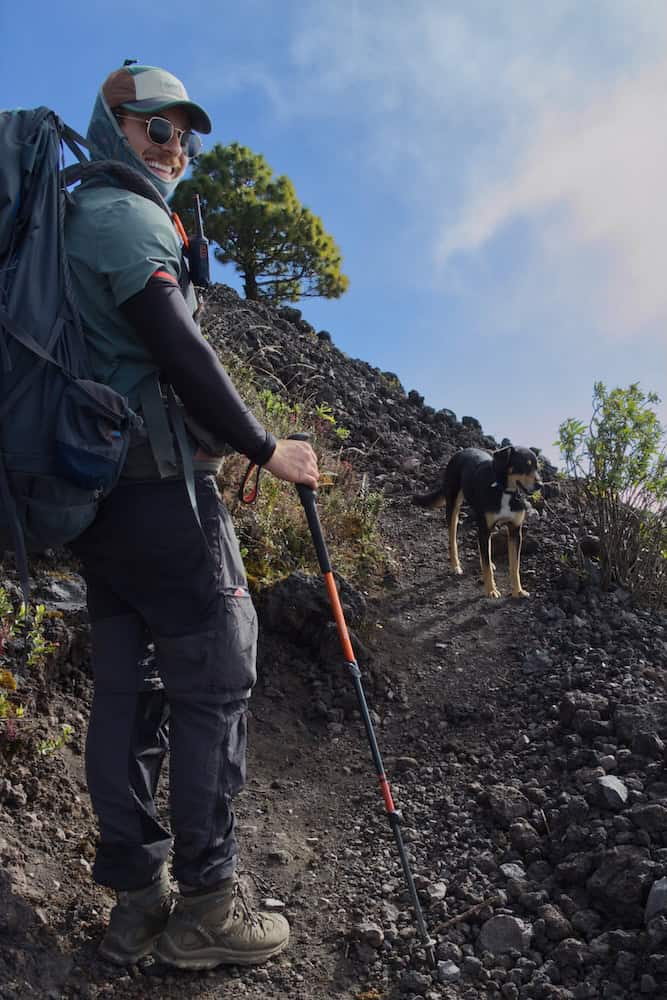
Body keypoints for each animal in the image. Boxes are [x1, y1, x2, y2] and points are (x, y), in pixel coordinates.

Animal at [412, 448, 544, 600]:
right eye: (524, 465)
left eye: (536, 467)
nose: (540, 485)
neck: (505, 491)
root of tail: (463, 451)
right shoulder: (485, 528)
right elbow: (486, 566)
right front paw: (491, 590)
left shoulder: (515, 531)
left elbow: (514, 566)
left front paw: (518, 591)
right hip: (453, 506)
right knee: (453, 539)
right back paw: (455, 566)